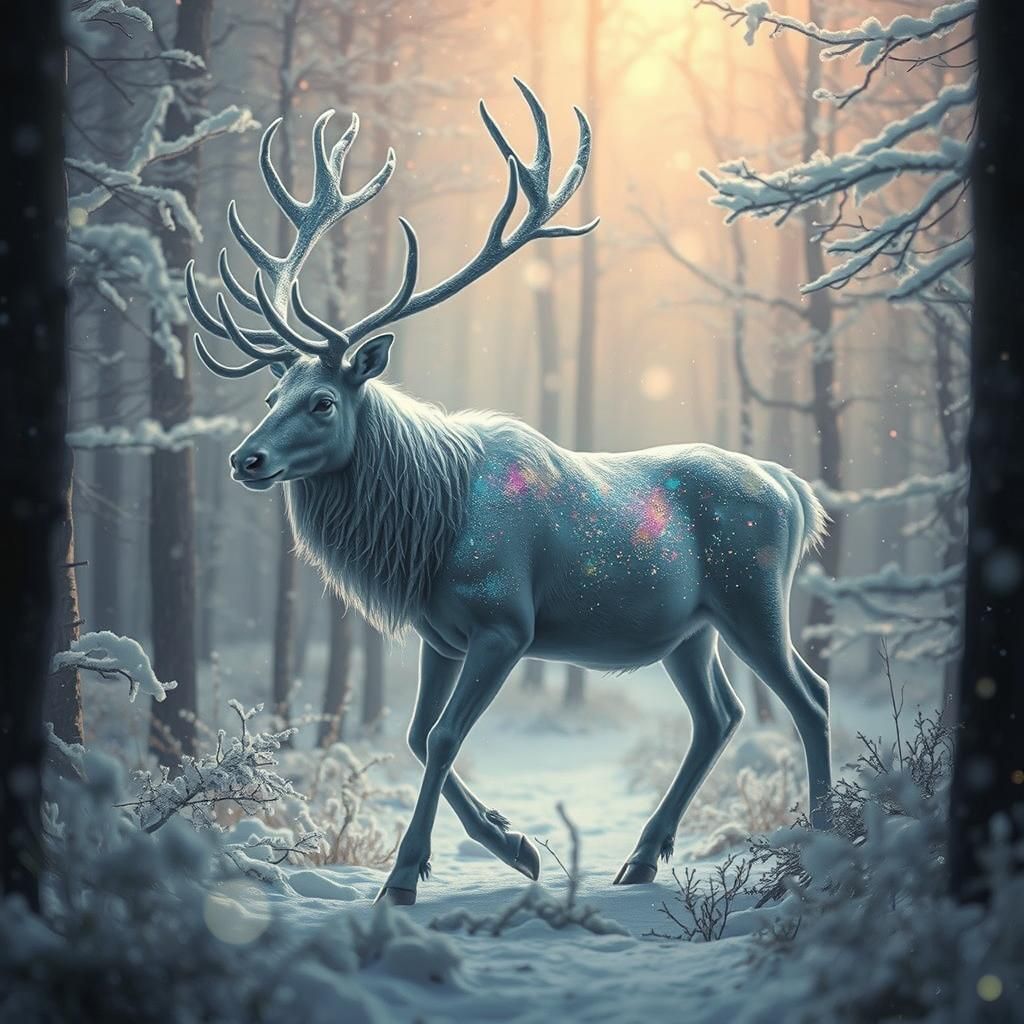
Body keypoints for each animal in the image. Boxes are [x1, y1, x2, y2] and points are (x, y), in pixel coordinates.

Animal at [186, 80, 832, 906]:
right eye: (273, 394)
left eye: (323, 402)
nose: (247, 459)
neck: (425, 531)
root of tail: (794, 489)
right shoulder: (439, 633)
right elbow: (414, 734)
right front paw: (512, 844)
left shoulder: (507, 624)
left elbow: (441, 736)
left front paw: (408, 877)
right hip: (690, 630)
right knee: (720, 715)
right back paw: (641, 857)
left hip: (753, 599)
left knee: (808, 697)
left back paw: (824, 843)